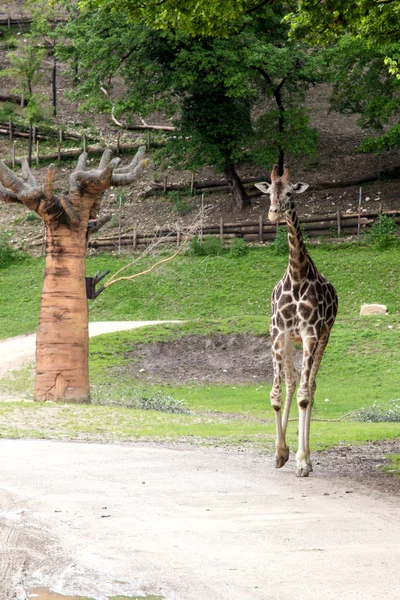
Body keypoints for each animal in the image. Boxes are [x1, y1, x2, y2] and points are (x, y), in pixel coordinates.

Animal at [256, 165, 338, 478]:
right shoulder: (277, 332)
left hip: (324, 337)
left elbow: (304, 394)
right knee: (292, 382)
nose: (273, 213)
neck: (298, 274)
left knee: (310, 387)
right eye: (269, 192)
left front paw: (303, 461)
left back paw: (308, 457)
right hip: (291, 341)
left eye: (290, 193)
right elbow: (276, 394)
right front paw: (280, 453)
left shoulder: (311, 334)